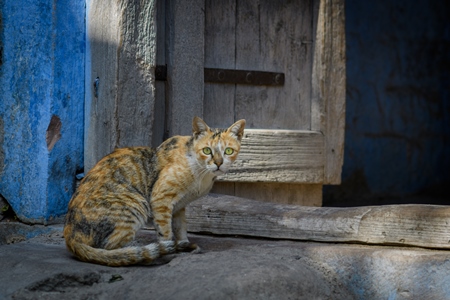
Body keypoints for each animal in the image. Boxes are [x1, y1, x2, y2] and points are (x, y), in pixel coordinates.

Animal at [62, 117, 244, 268]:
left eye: (228, 151)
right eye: (207, 150)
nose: (218, 163)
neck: (201, 174)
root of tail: (70, 236)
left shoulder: (179, 206)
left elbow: (181, 228)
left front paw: (184, 244)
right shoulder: (161, 199)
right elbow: (166, 232)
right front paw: (170, 249)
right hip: (135, 204)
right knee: (112, 249)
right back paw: (144, 250)